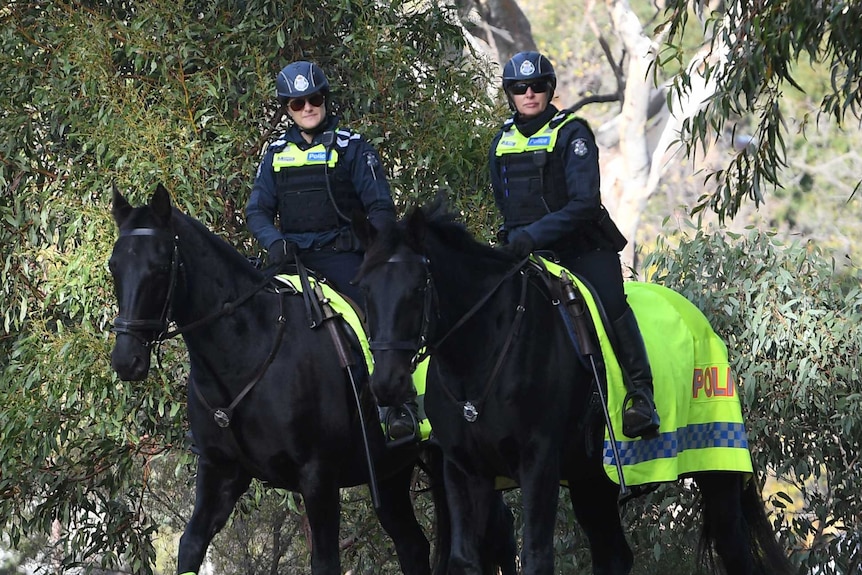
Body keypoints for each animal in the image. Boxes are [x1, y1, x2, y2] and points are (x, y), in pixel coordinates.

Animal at [107, 186, 512, 575]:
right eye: (114, 266)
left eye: (160, 266)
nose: (127, 360)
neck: (247, 353)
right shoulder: (220, 471)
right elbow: (190, 546)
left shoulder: (318, 476)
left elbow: (325, 562)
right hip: (392, 472)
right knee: (413, 545)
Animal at [352, 201, 796, 575]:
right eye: (366, 289)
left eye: (416, 289)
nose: (386, 384)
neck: (484, 357)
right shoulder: (463, 470)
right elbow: (465, 561)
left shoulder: (539, 463)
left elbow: (536, 558)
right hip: (592, 483)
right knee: (614, 556)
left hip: (716, 468)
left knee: (734, 550)